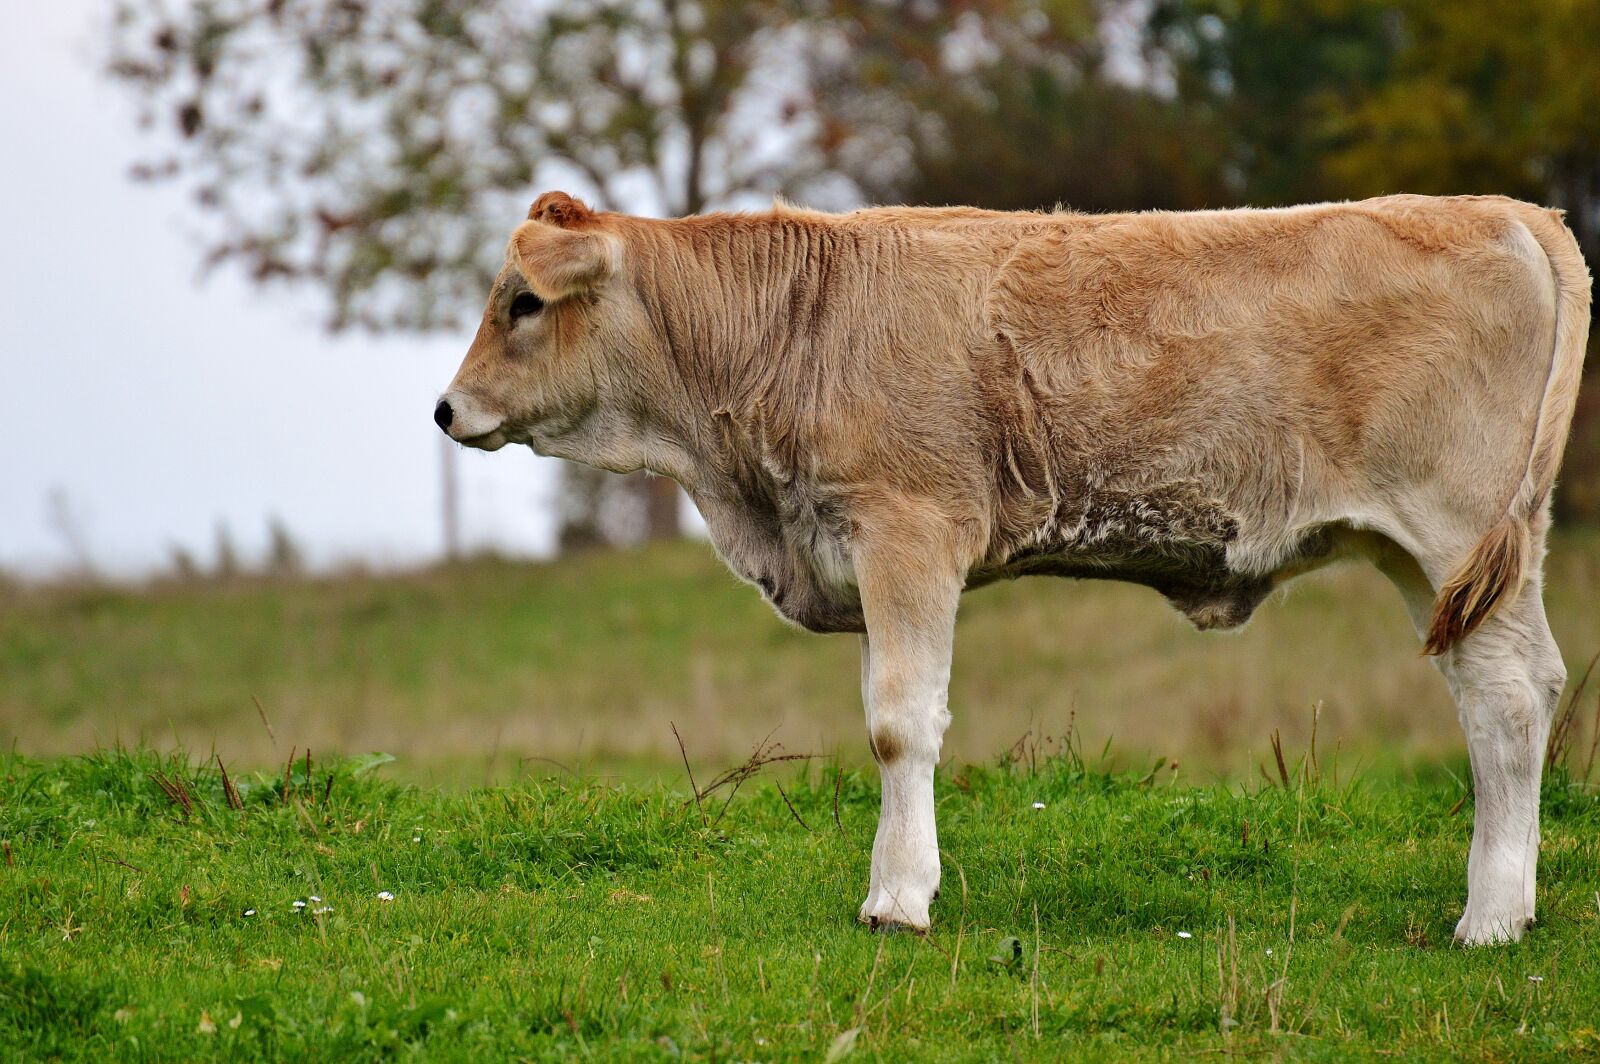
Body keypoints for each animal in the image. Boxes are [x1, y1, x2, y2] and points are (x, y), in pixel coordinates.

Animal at [435, 191, 1589, 945]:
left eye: (522, 302)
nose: (446, 409)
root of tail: (1500, 208)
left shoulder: (909, 532)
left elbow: (899, 722)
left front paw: (897, 898)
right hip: (1444, 562)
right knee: (1513, 693)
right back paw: (1514, 900)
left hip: (1451, 528)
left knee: (1504, 696)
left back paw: (1488, 918)